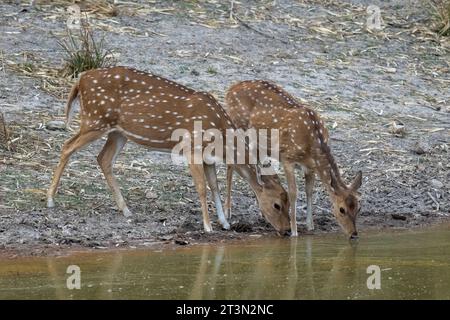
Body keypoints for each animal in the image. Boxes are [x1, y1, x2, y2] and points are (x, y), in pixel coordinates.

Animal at [46, 66, 292, 234]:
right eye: (277, 204)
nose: (287, 230)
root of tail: (81, 80)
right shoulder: (192, 148)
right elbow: (202, 188)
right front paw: (208, 226)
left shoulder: (208, 157)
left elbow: (215, 186)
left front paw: (225, 223)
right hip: (95, 119)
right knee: (67, 146)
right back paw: (49, 200)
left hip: (118, 132)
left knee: (103, 159)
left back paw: (126, 210)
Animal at [225, 81, 362, 239]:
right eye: (341, 209)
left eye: (358, 207)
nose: (354, 234)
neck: (312, 142)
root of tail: (230, 89)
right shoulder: (287, 158)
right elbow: (293, 192)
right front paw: (294, 231)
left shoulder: (310, 167)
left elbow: (309, 191)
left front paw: (310, 225)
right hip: (238, 127)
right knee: (231, 162)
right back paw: (228, 212)